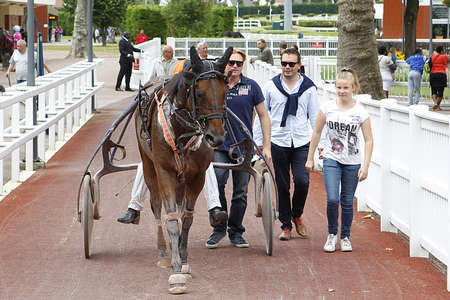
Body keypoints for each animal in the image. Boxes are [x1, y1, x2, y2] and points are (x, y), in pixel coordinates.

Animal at [134, 45, 232, 294]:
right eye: (200, 93)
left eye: (226, 91)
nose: (216, 137)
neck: (181, 132)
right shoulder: (165, 172)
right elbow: (170, 218)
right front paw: (176, 270)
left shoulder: (196, 176)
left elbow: (185, 219)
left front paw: (184, 259)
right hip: (149, 167)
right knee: (156, 205)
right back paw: (163, 252)